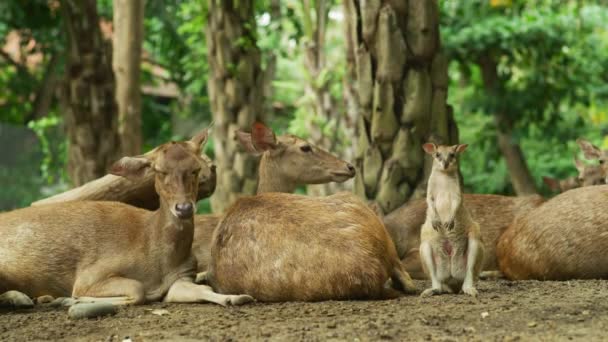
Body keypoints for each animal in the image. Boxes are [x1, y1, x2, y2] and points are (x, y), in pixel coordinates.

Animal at [0, 129, 252, 312]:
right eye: (159, 170)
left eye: (196, 169)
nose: (184, 208)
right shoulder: (90, 274)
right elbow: (137, 290)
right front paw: (70, 300)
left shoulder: (181, 277)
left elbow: (203, 289)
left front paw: (238, 297)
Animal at [418, 143, 484, 296]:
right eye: (437, 155)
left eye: (452, 155)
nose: (445, 164)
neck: (443, 175)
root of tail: (452, 281)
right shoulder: (430, 191)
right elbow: (429, 201)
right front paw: (437, 221)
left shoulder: (457, 192)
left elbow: (457, 202)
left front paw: (449, 222)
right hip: (425, 245)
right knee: (437, 280)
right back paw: (432, 290)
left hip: (475, 238)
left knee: (469, 272)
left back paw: (470, 290)